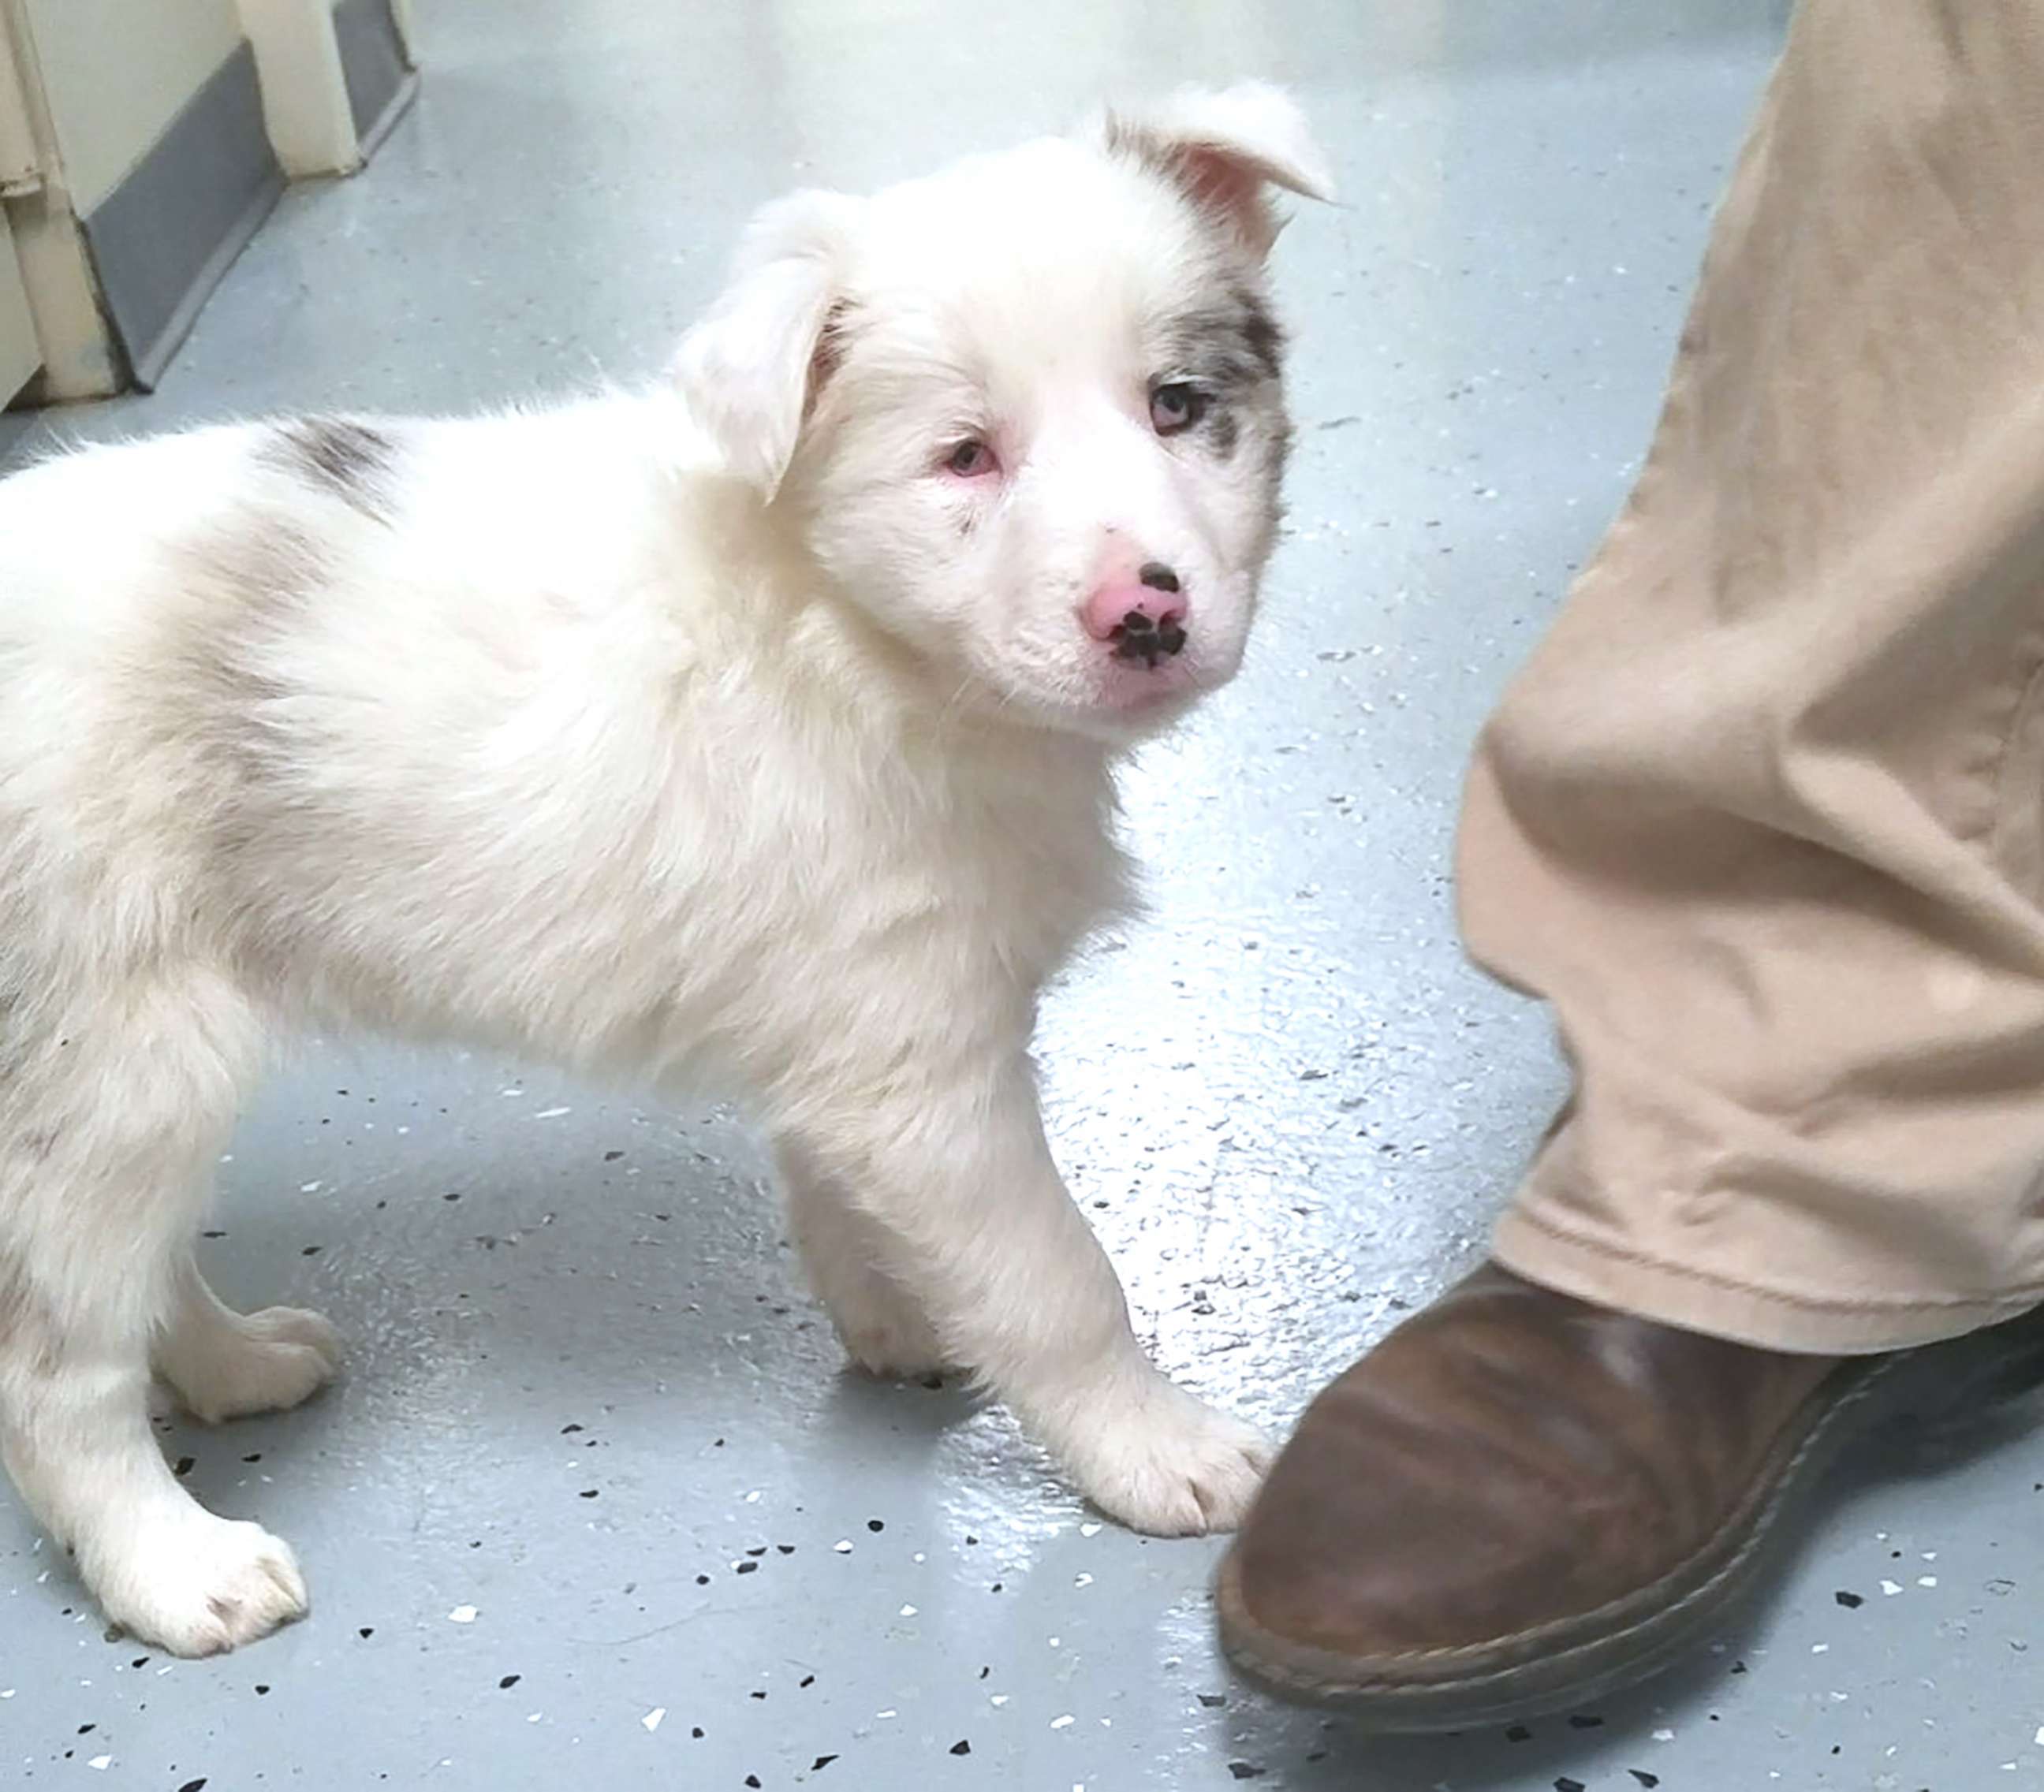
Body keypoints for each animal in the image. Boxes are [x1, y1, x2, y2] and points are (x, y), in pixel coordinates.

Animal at [0, 80, 1324, 1651]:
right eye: (965, 457)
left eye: (1177, 406)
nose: (1145, 615)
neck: (842, 626)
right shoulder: (925, 1066)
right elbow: (1059, 1282)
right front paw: (1152, 1448)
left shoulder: (852, 1035)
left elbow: (839, 1192)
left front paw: (899, 1321)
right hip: (113, 1047)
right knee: (50, 1365)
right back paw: (170, 1563)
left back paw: (230, 1364)